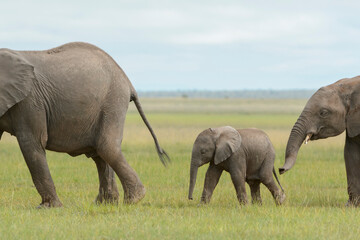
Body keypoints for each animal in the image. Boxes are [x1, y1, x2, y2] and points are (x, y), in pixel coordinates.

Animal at [0, 42, 169, 207]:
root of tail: (128, 83)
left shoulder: (29, 101)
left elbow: (32, 143)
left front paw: (48, 207)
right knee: (99, 153)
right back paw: (105, 203)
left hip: (113, 101)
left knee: (106, 147)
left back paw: (133, 199)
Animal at [280, 76, 360, 206]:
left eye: (323, 113)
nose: (280, 170)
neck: (348, 86)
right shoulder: (353, 121)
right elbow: (350, 153)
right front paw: (351, 206)